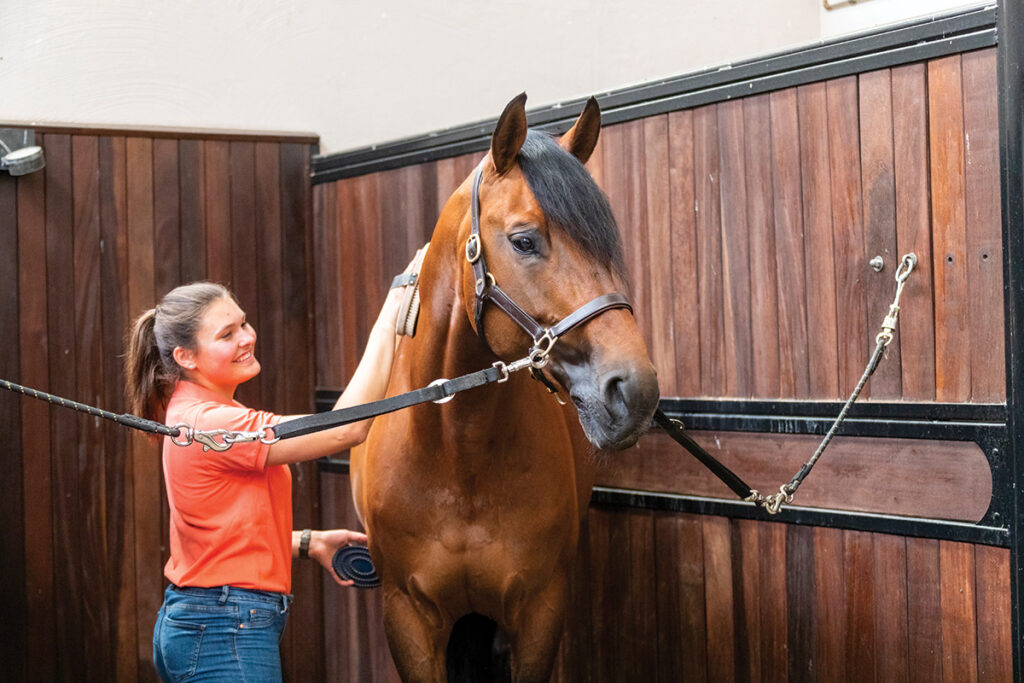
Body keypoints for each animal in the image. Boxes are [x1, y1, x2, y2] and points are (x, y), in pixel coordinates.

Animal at [352, 93, 660, 682]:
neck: (457, 455)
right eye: (524, 241)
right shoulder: (407, 618)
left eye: (608, 244)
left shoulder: (539, 610)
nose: (636, 391)